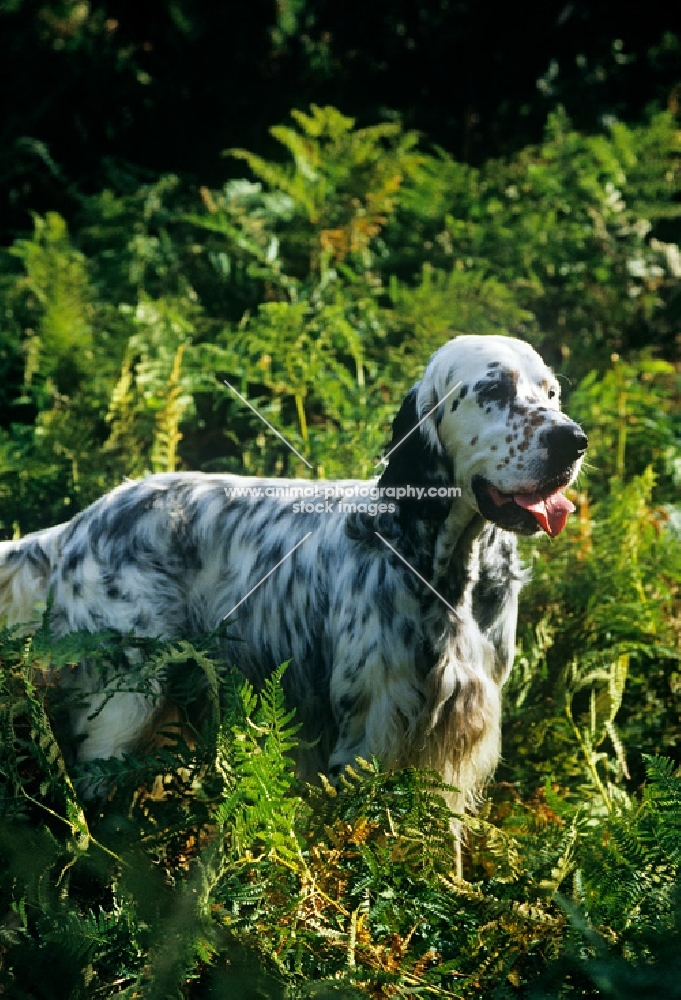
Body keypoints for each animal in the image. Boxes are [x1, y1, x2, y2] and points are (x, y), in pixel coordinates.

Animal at [0, 336, 584, 804]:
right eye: (494, 390)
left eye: (552, 393)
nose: (574, 441)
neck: (448, 575)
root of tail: (78, 525)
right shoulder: (368, 735)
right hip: (123, 709)